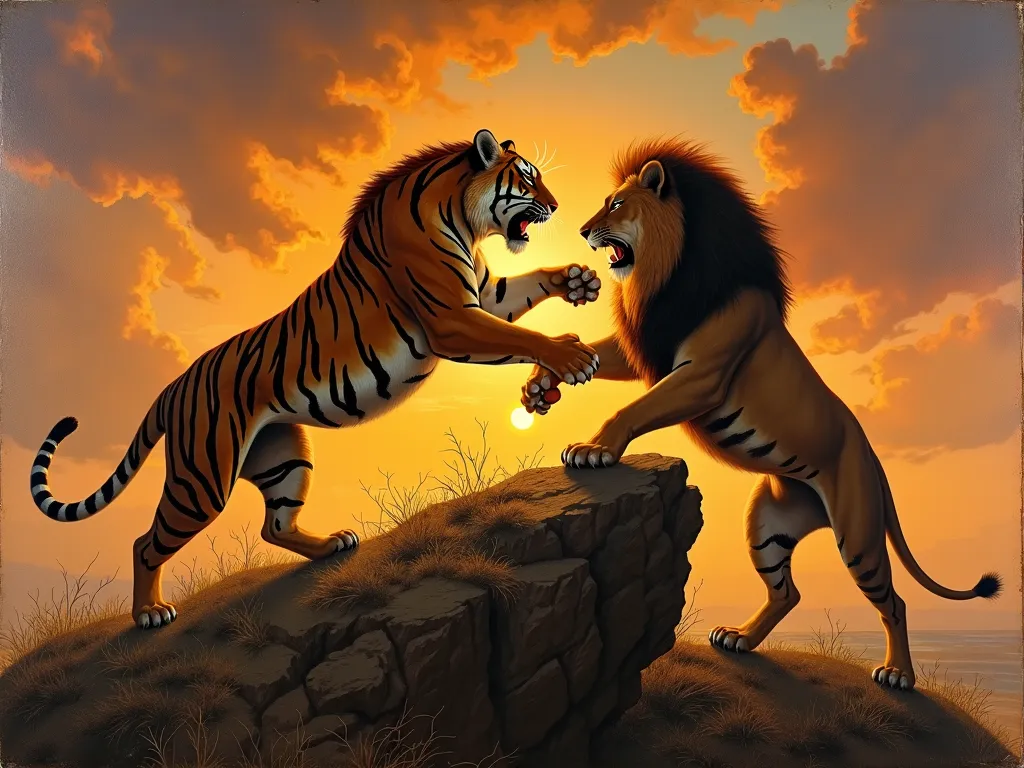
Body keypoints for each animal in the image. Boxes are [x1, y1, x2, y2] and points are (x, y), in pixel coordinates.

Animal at [29, 128, 604, 630]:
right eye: (527, 179)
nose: (556, 207)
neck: (460, 217)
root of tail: (173, 386)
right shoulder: (453, 319)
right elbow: (521, 336)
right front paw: (572, 356)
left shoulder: (485, 294)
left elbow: (529, 285)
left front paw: (578, 280)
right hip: (202, 480)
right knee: (146, 543)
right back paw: (149, 613)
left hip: (284, 455)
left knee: (274, 524)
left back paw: (331, 545)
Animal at [520, 136, 1002, 691]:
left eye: (616, 204)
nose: (580, 230)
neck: (670, 271)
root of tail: (874, 462)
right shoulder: (653, 346)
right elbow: (597, 355)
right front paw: (543, 382)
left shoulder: (703, 373)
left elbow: (634, 407)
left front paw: (593, 449)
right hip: (766, 524)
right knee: (787, 592)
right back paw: (739, 639)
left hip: (858, 534)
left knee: (895, 603)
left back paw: (897, 674)